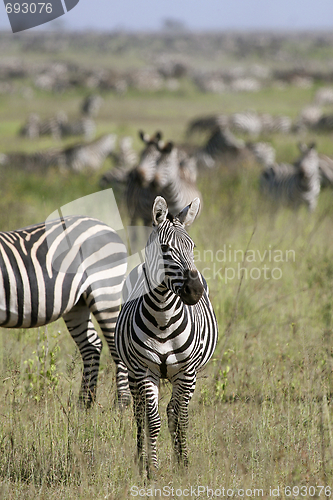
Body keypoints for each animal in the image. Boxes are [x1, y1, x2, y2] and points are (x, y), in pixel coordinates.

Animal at [0, 217, 129, 408]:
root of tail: (105, 225)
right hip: (78, 303)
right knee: (91, 345)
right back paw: (84, 405)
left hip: (105, 291)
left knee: (115, 344)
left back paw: (121, 404)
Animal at [114, 196, 218, 476]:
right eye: (164, 248)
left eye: (192, 246)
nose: (195, 291)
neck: (163, 317)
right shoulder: (144, 370)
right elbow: (153, 420)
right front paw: (152, 469)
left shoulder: (187, 372)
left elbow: (180, 416)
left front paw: (183, 462)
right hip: (133, 372)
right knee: (140, 413)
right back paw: (140, 459)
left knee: (173, 411)